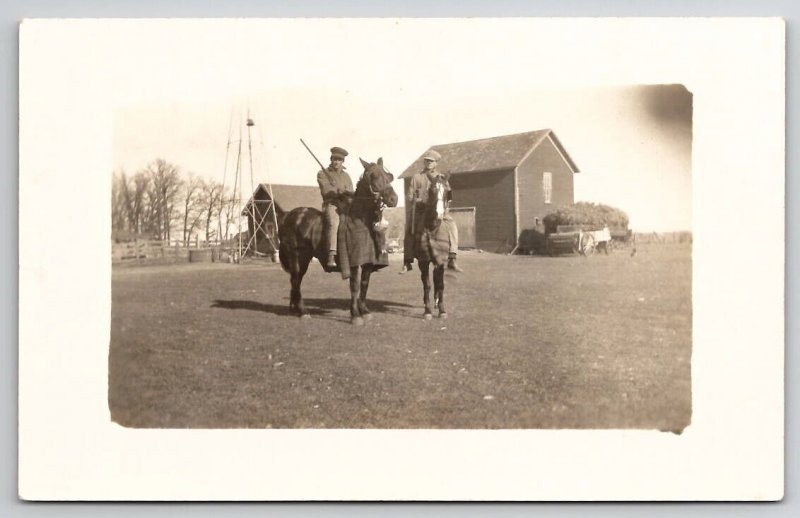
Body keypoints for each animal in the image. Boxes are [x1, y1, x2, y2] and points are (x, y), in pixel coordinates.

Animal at [278, 160, 400, 328]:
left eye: (388, 176)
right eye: (374, 176)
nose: (393, 199)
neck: (361, 221)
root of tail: (288, 216)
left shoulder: (368, 264)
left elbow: (364, 285)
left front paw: (365, 311)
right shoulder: (354, 263)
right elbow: (355, 287)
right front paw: (355, 315)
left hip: (304, 259)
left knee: (295, 280)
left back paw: (294, 309)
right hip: (296, 257)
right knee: (296, 280)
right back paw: (302, 312)